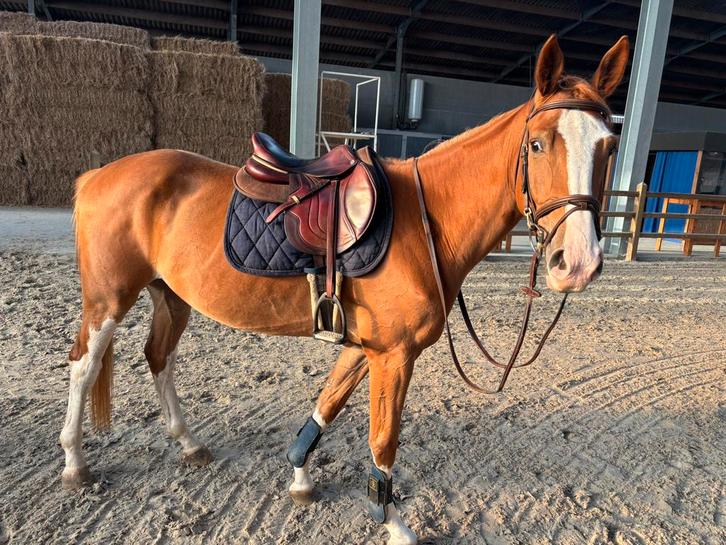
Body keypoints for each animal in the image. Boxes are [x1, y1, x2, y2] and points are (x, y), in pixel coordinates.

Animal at [60, 34, 628, 545]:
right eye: (537, 144)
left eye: (609, 146)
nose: (577, 263)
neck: (424, 220)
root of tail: (96, 175)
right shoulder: (394, 356)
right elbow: (383, 442)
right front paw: (394, 524)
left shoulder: (365, 347)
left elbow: (326, 405)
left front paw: (299, 476)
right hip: (109, 301)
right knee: (84, 365)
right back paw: (74, 462)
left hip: (171, 297)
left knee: (159, 357)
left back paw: (188, 444)